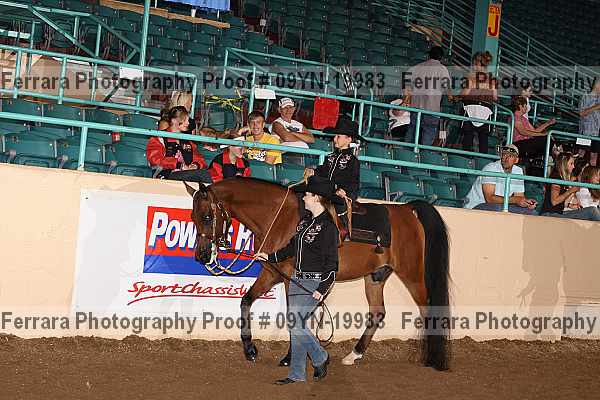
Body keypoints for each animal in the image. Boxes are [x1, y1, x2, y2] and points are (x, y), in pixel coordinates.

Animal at [184, 177, 451, 371]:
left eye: (207, 216)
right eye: (193, 217)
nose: (202, 255)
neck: (280, 218)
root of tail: (406, 210)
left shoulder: (292, 277)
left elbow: (294, 316)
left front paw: (290, 358)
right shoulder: (271, 271)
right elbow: (246, 301)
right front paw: (250, 349)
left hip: (412, 274)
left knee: (427, 308)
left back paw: (431, 358)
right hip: (376, 276)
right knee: (377, 313)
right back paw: (354, 355)